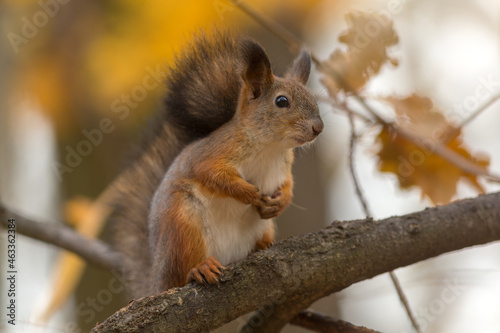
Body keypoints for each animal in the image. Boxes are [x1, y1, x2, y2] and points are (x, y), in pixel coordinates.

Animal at [109, 31, 324, 296]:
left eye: (313, 99)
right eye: (281, 101)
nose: (318, 127)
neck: (271, 147)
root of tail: (157, 281)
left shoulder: (284, 167)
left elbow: (288, 185)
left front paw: (280, 201)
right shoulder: (212, 153)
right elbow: (212, 174)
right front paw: (248, 192)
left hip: (261, 228)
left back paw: (264, 245)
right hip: (182, 224)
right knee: (182, 273)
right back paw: (200, 268)